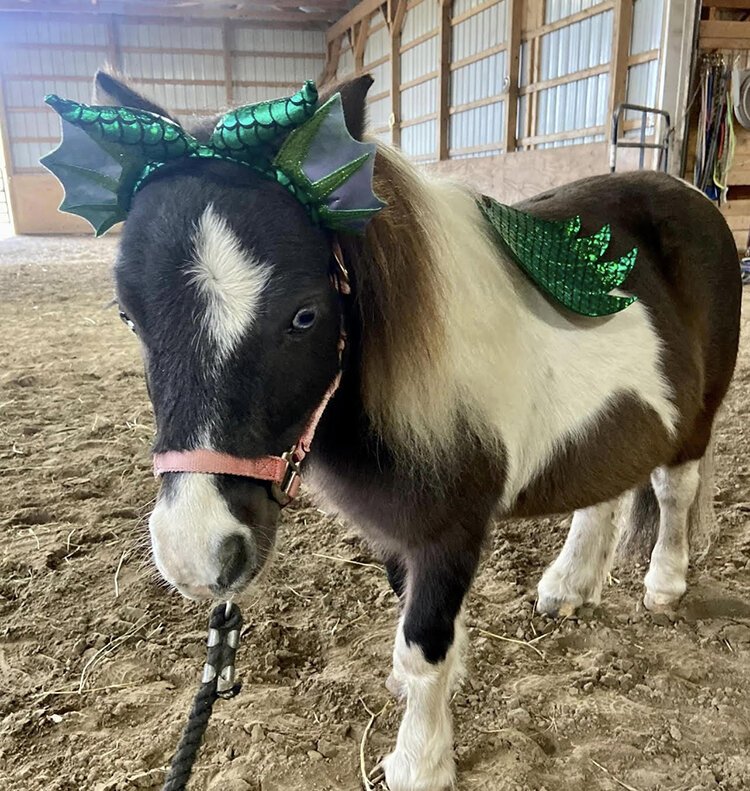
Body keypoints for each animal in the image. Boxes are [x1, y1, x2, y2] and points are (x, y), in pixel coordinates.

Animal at [101, 74, 748, 791]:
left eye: (304, 315)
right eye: (128, 315)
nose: (196, 552)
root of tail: (691, 195)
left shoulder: (449, 532)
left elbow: (422, 646)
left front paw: (421, 760)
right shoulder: (395, 530)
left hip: (697, 419)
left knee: (674, 490)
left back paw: (665, 583)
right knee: (603, 492)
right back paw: (568, 586)